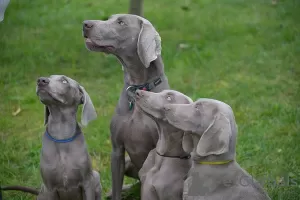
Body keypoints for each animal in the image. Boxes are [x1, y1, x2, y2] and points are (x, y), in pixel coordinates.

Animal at [82, 14, 170, 200]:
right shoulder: (117, 150)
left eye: (121, 22)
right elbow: (116, 187)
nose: (85, 24)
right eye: (109, 18)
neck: (138, 88)